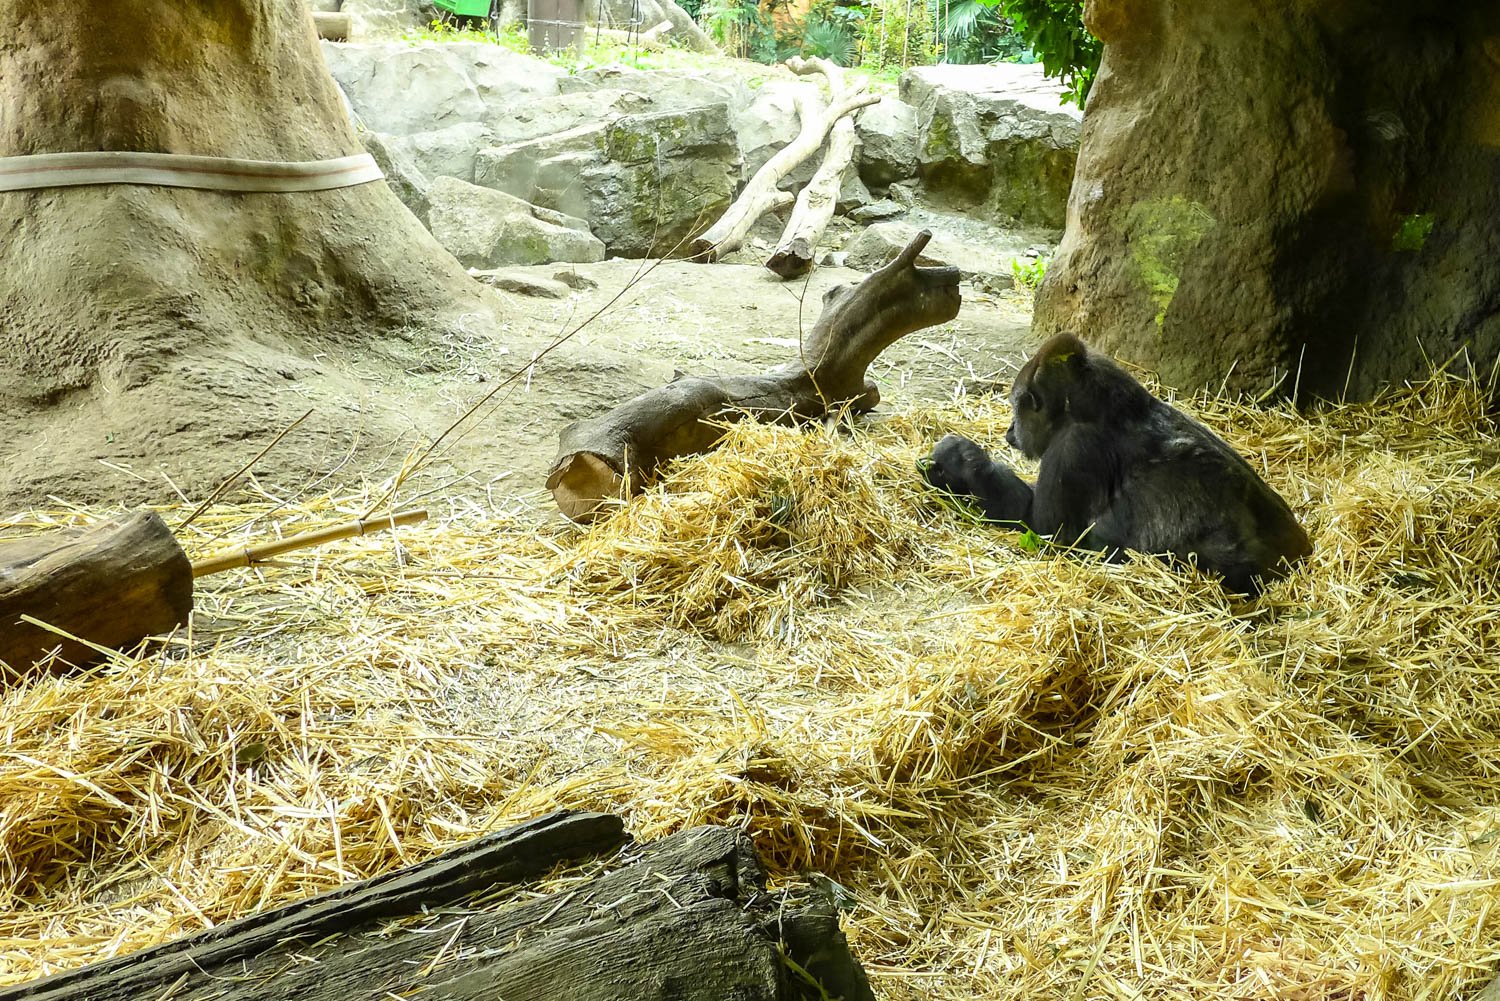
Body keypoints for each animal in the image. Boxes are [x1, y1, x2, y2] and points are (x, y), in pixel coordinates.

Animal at [919, 333, 1311, 596]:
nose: (1009, 431)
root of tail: (1303, 553)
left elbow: (1045, 531)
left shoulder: (1073, 448)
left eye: (1017, 408)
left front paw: (962, 460)